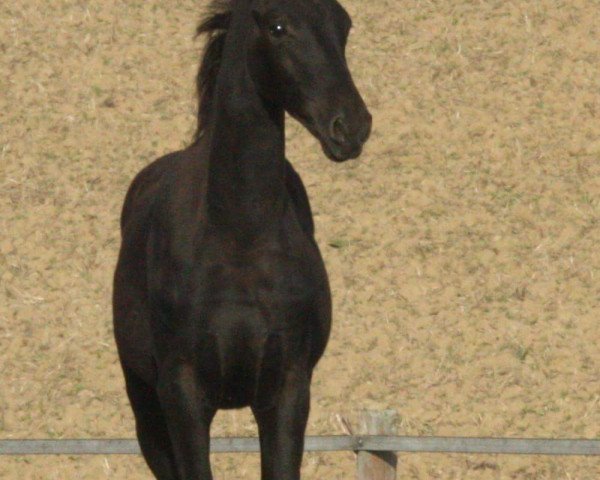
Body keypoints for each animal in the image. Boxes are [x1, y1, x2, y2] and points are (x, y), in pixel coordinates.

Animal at [112, 0, 370, 478]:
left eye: (343, 25)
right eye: (278, 26)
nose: (351, 127)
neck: (238, 239)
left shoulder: (287, 391)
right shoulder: (183, 394)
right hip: (146, 407)